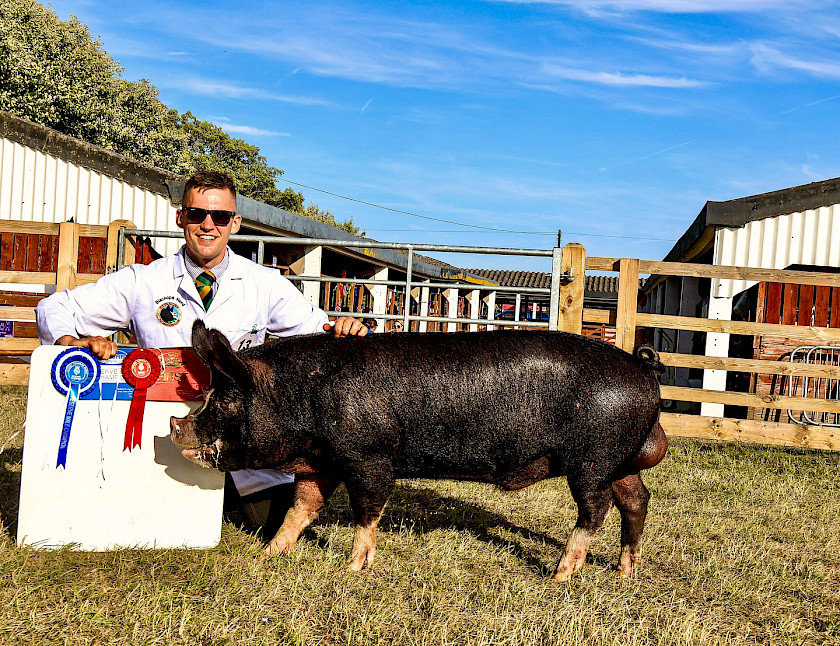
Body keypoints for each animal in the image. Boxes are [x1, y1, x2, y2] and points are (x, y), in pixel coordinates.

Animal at [171, 320, 667, 581]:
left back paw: (559, 575)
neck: (299, 397)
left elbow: (366, 511)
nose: (176, 425)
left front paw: (352, 571)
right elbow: (301, 508)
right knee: (636, 500)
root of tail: (642, 369)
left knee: (596, 509)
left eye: (227, 400)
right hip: (618, 461)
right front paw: (267, 556)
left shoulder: (368, 456)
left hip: (593, 459)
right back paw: (624, 571)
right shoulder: (322, 462)